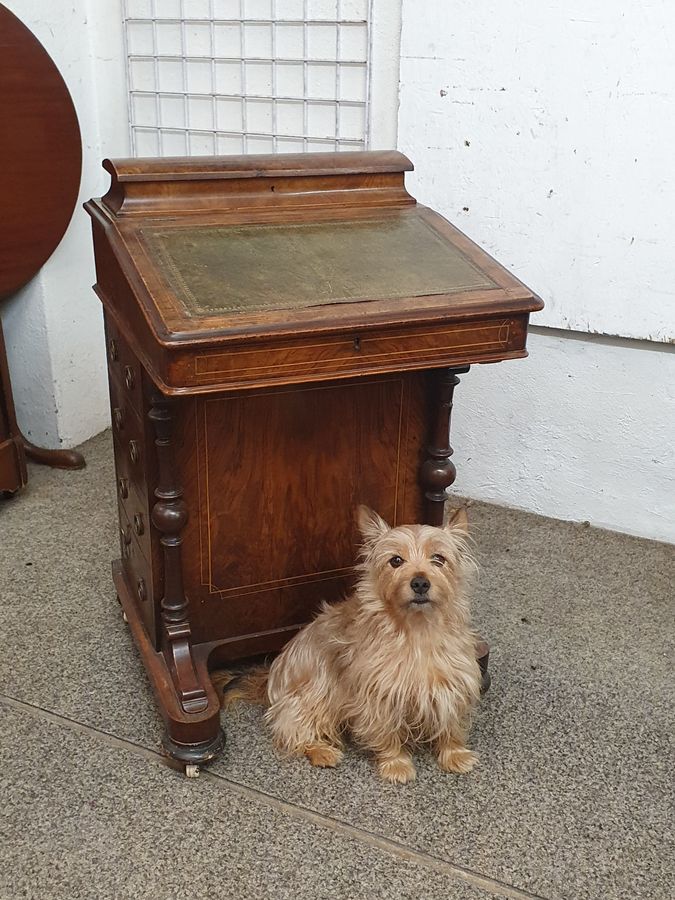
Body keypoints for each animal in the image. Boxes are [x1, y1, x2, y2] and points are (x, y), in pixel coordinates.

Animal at [220, 506, 480, 780]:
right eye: (396, 561)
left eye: (439, 558)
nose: (420, 583)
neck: (416, 630)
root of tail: (269, 679)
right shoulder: (378, 694)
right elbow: (387, 732)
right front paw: (396, 763)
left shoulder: (451, 685)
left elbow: (451, 725)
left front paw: (454, 753)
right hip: (313, 695)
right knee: (293, 729)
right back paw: (321, 751)